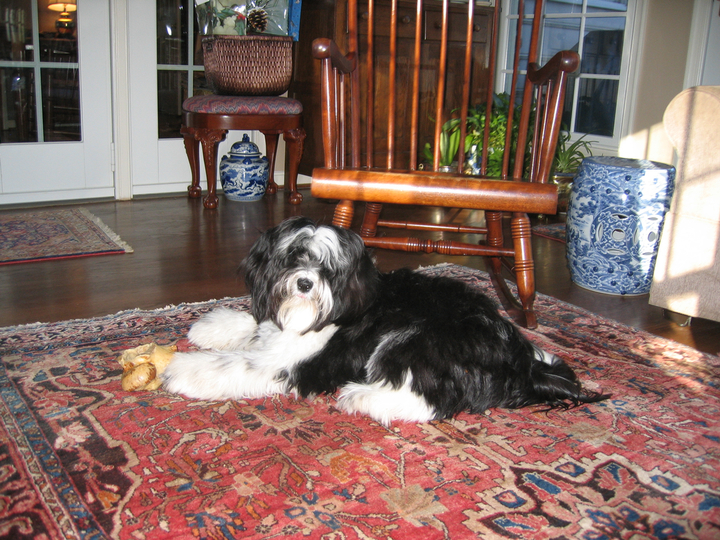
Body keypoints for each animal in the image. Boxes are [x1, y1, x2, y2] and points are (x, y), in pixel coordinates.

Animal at [160, 217, 604, 424]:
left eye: (329, 269)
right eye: (293, 257)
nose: (304, 283)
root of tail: (522, 364)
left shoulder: (296, 364)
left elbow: (235, 365)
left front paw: (184, 368)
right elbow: (255, 326)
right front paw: (212, 327)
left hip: (415, 338)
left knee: (435, 401)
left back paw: (363, 397)